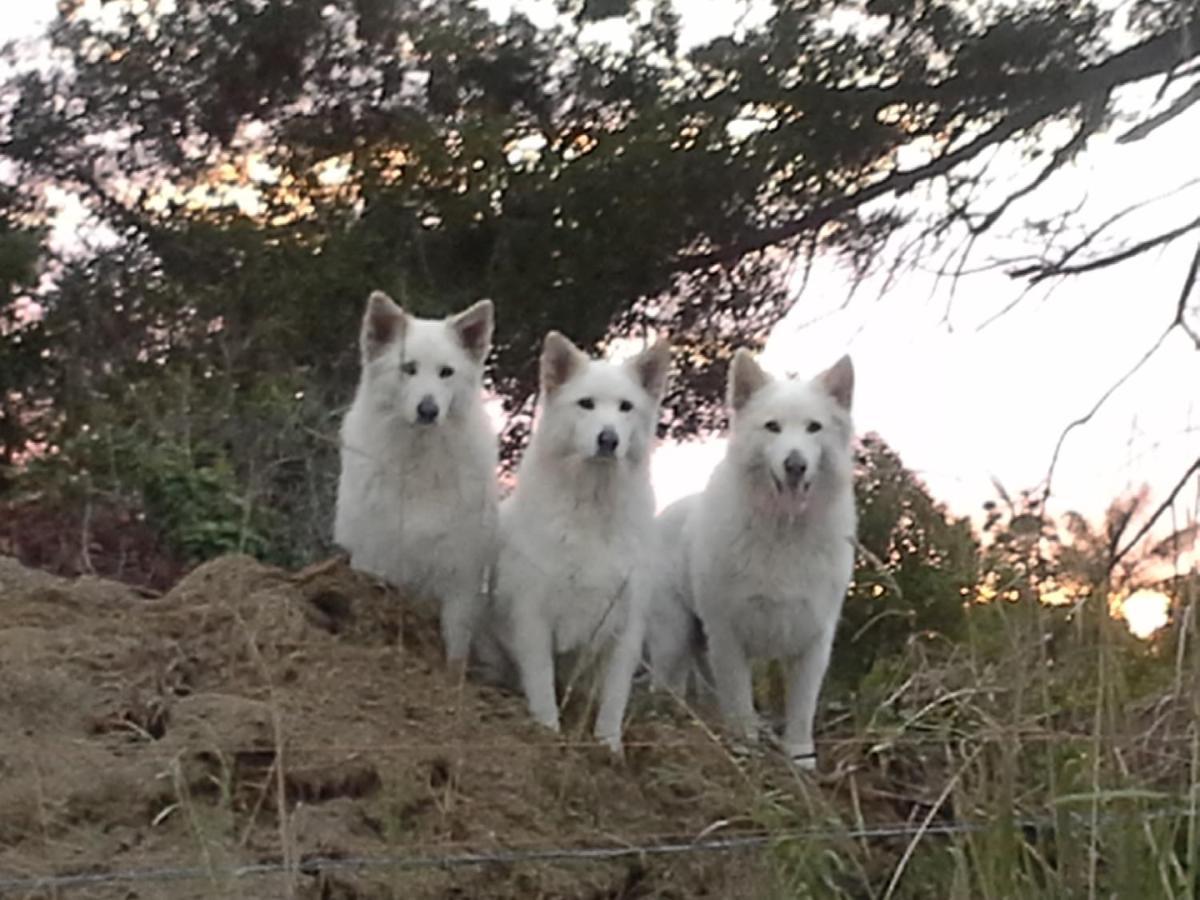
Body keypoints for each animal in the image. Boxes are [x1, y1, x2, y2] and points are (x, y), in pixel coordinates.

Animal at [333, 292, 496, 667]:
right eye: (408, 369)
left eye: (446, 373)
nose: (428, 410)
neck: (420, 462)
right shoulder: (376, 560)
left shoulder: (460, 576)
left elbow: (455, 648)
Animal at [489, 331, 676, 753]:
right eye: (586, 404)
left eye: (625, 408)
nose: (608, 439)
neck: (593, 504)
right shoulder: (533, 614)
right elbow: (541, 683)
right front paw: (547, 731)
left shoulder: (627, 626)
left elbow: (614, 699)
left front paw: (609, 747)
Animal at [652, 348, 859, 772]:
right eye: (772, 427)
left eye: (813, 428)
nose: (795, 465)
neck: (783, 531)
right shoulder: (729, 635)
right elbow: (741, 703)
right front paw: (745, 749)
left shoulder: (813, 640)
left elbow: (801, 710)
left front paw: (800, 760)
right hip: (672, 635)